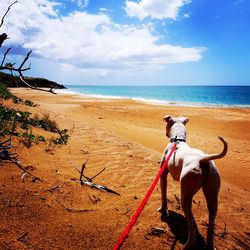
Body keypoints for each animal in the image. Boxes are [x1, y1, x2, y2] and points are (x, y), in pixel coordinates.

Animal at [159, 115, 228, 250]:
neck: (177, 140)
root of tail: (203, 160)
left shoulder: (163, 175)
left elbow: (163, 195)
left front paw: (163, 210)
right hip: (212, 194)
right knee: (210, 225)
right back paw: (210, 245)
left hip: (186, 194)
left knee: (192, 226)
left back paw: (188, 245)